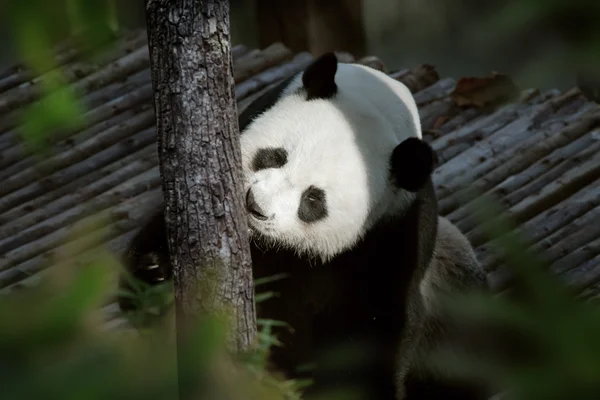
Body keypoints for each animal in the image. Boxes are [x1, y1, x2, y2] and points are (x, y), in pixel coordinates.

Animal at [118, 53, 492, 400]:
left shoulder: (393, 236)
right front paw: (154, 269)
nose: (255, 207)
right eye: (273, 156)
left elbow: (373, 329)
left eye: (313, 199)